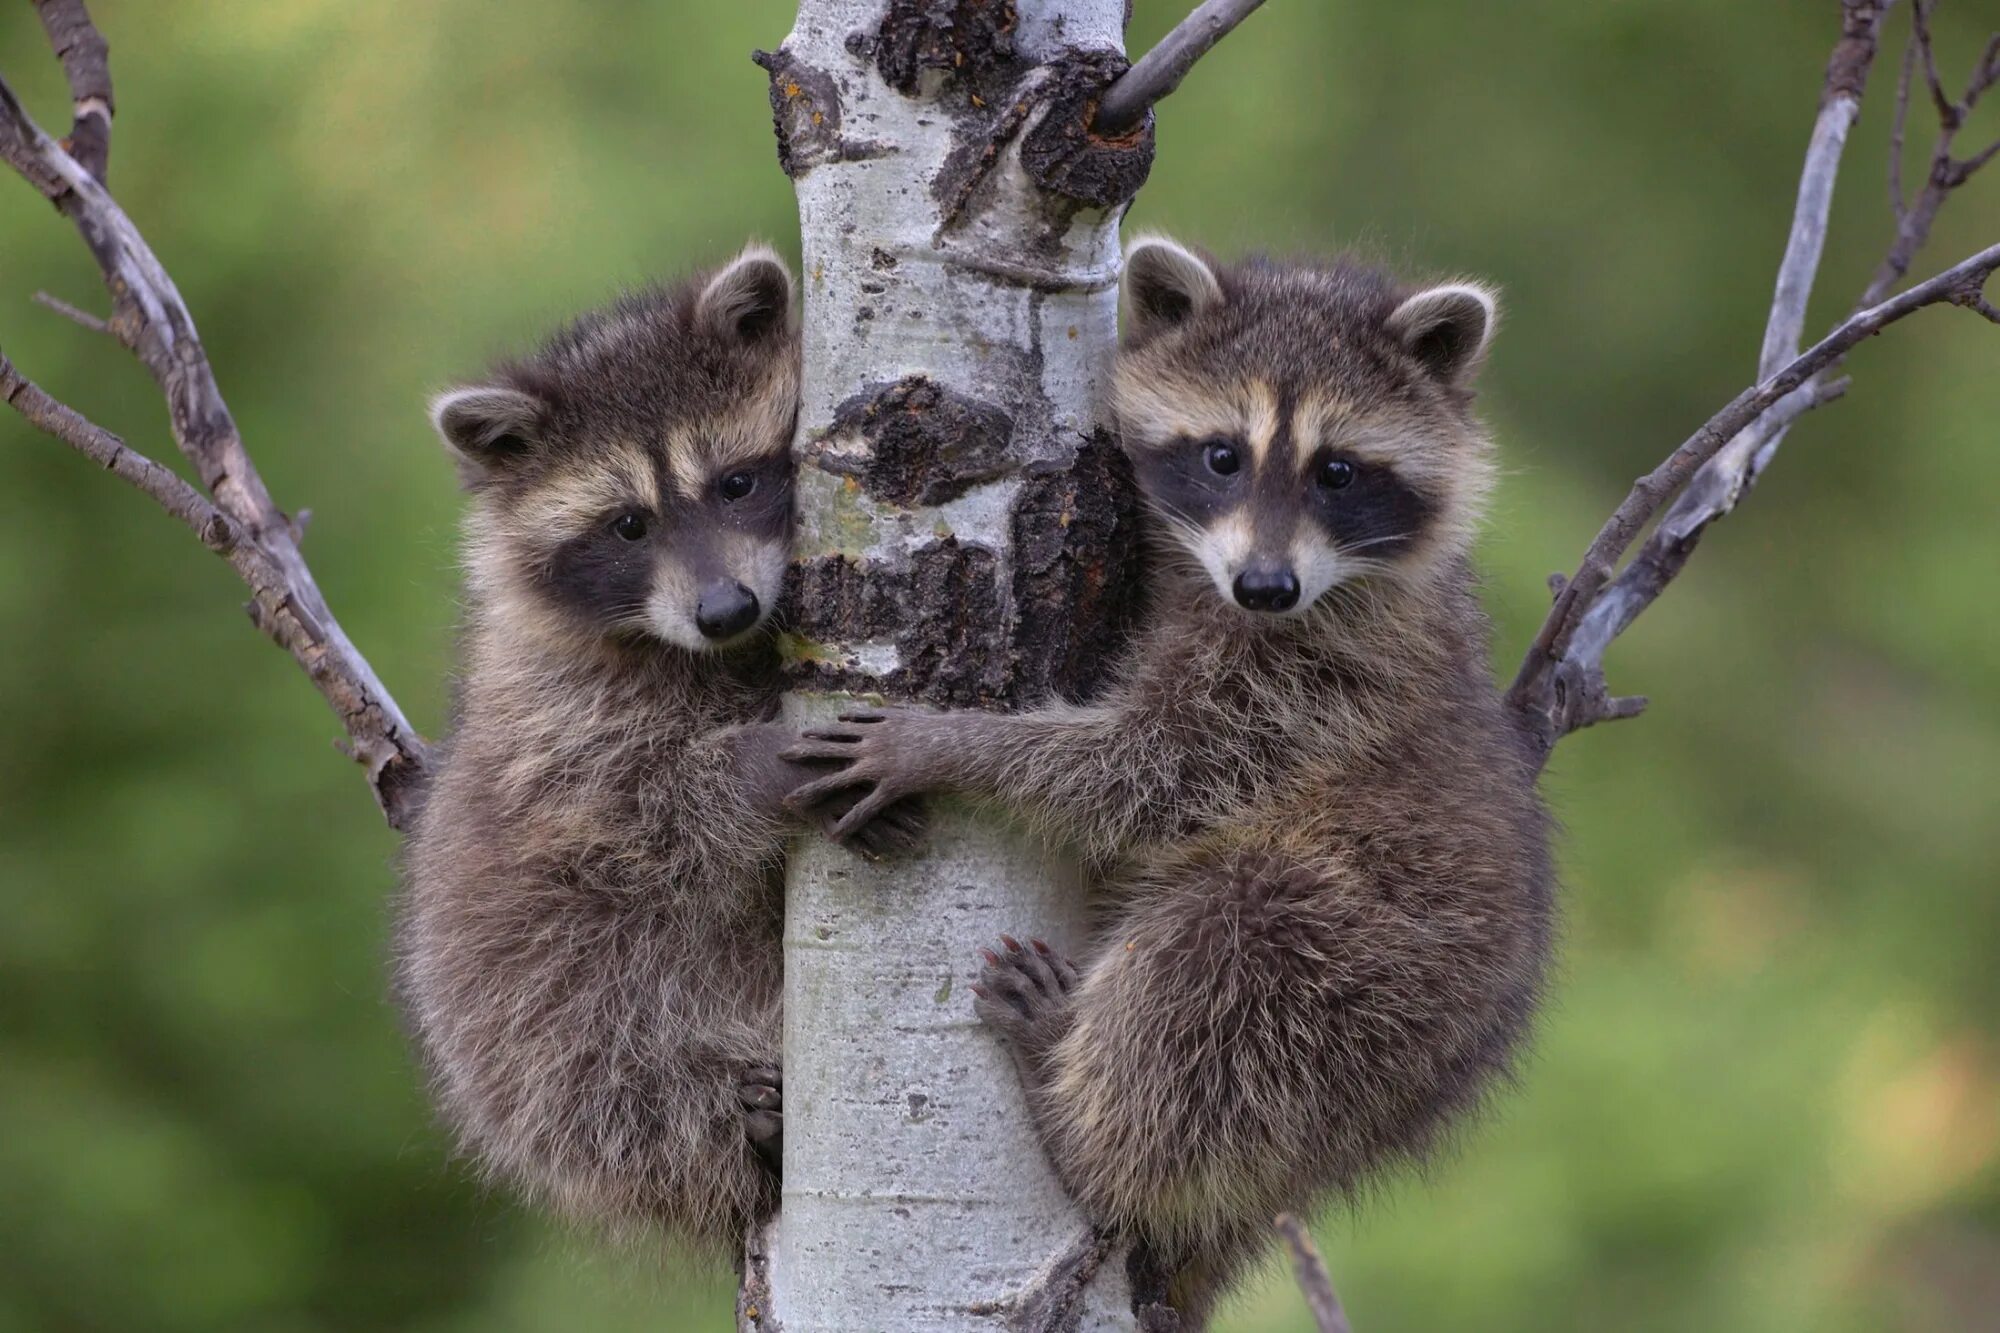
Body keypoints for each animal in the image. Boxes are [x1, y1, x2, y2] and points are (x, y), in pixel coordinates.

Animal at [388, 246, 916, 1248]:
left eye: (735, 483)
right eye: (628, 524)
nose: (725, 610)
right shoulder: (560, 719)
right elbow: (638, 817)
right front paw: (757, 767)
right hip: (521, 1023)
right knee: (608, 1085)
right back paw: (736, 1126)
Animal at [788, 236, 1552, 1304]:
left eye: (1339, 471)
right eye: (1222, 455)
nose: (1266, 586)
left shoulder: (1317, 682)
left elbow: (1151, 771)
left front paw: (955, 745)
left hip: (1374, 973)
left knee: (1217, 963)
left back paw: (1080, 1125)